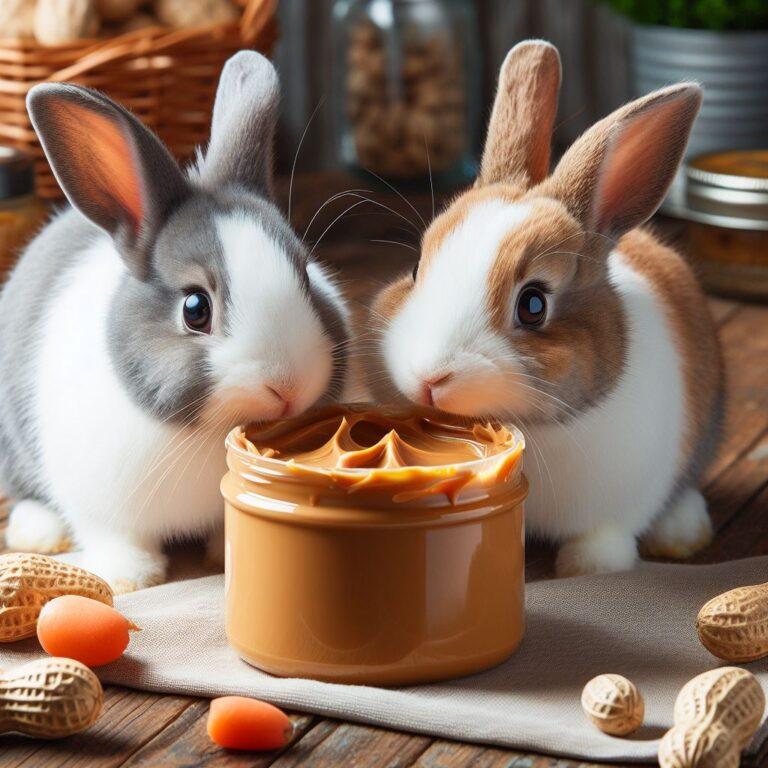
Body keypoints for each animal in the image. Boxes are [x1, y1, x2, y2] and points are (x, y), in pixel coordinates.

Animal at [0, 52, 352, 592]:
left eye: (306, 275)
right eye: (195, 309)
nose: (289, 386)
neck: (207, 434)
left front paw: (220, 557)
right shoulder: (98, 505)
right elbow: (117, 539)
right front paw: (131, 578)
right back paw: (38, 533)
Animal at [368, 37, 724, 576]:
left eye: (533, 305)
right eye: (415, 269)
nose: (429, 378)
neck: (533, 430)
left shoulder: (620, 504)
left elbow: (604, 539)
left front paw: (590, 568)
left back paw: (682, 530)